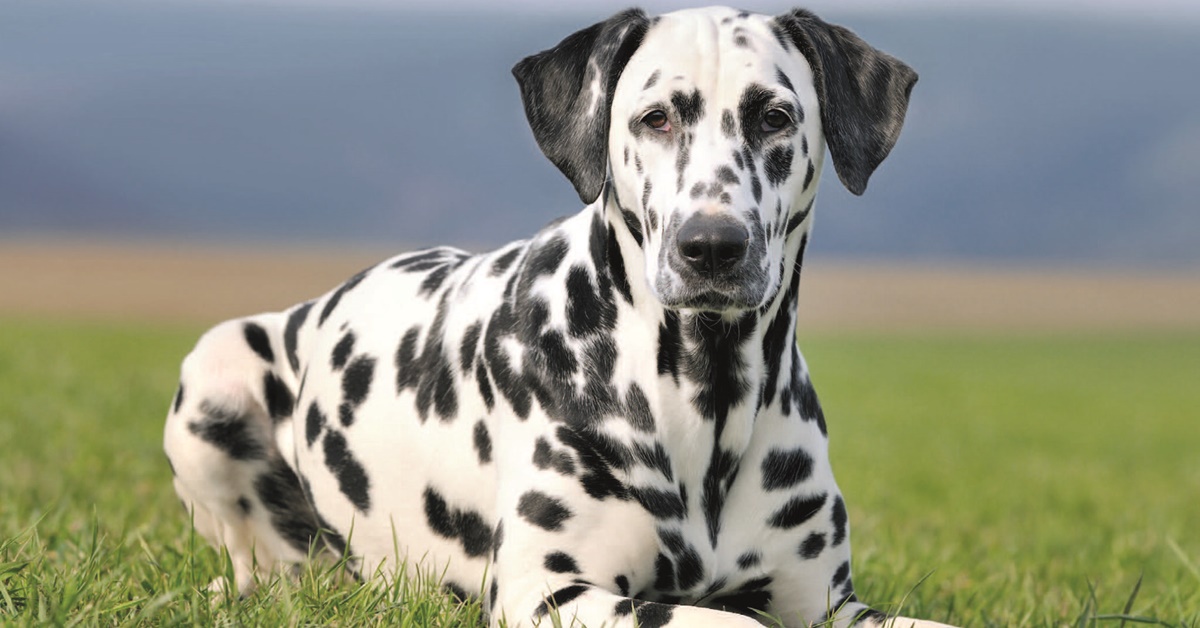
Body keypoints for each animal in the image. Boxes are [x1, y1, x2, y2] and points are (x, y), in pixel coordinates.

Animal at [164, 6, 950, 628]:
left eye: (775, 116)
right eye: (656, 117)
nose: (711, 246)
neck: (707, 397)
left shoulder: (831, 605)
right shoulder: (548, 591)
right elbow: (732, 623)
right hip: (216, 374)